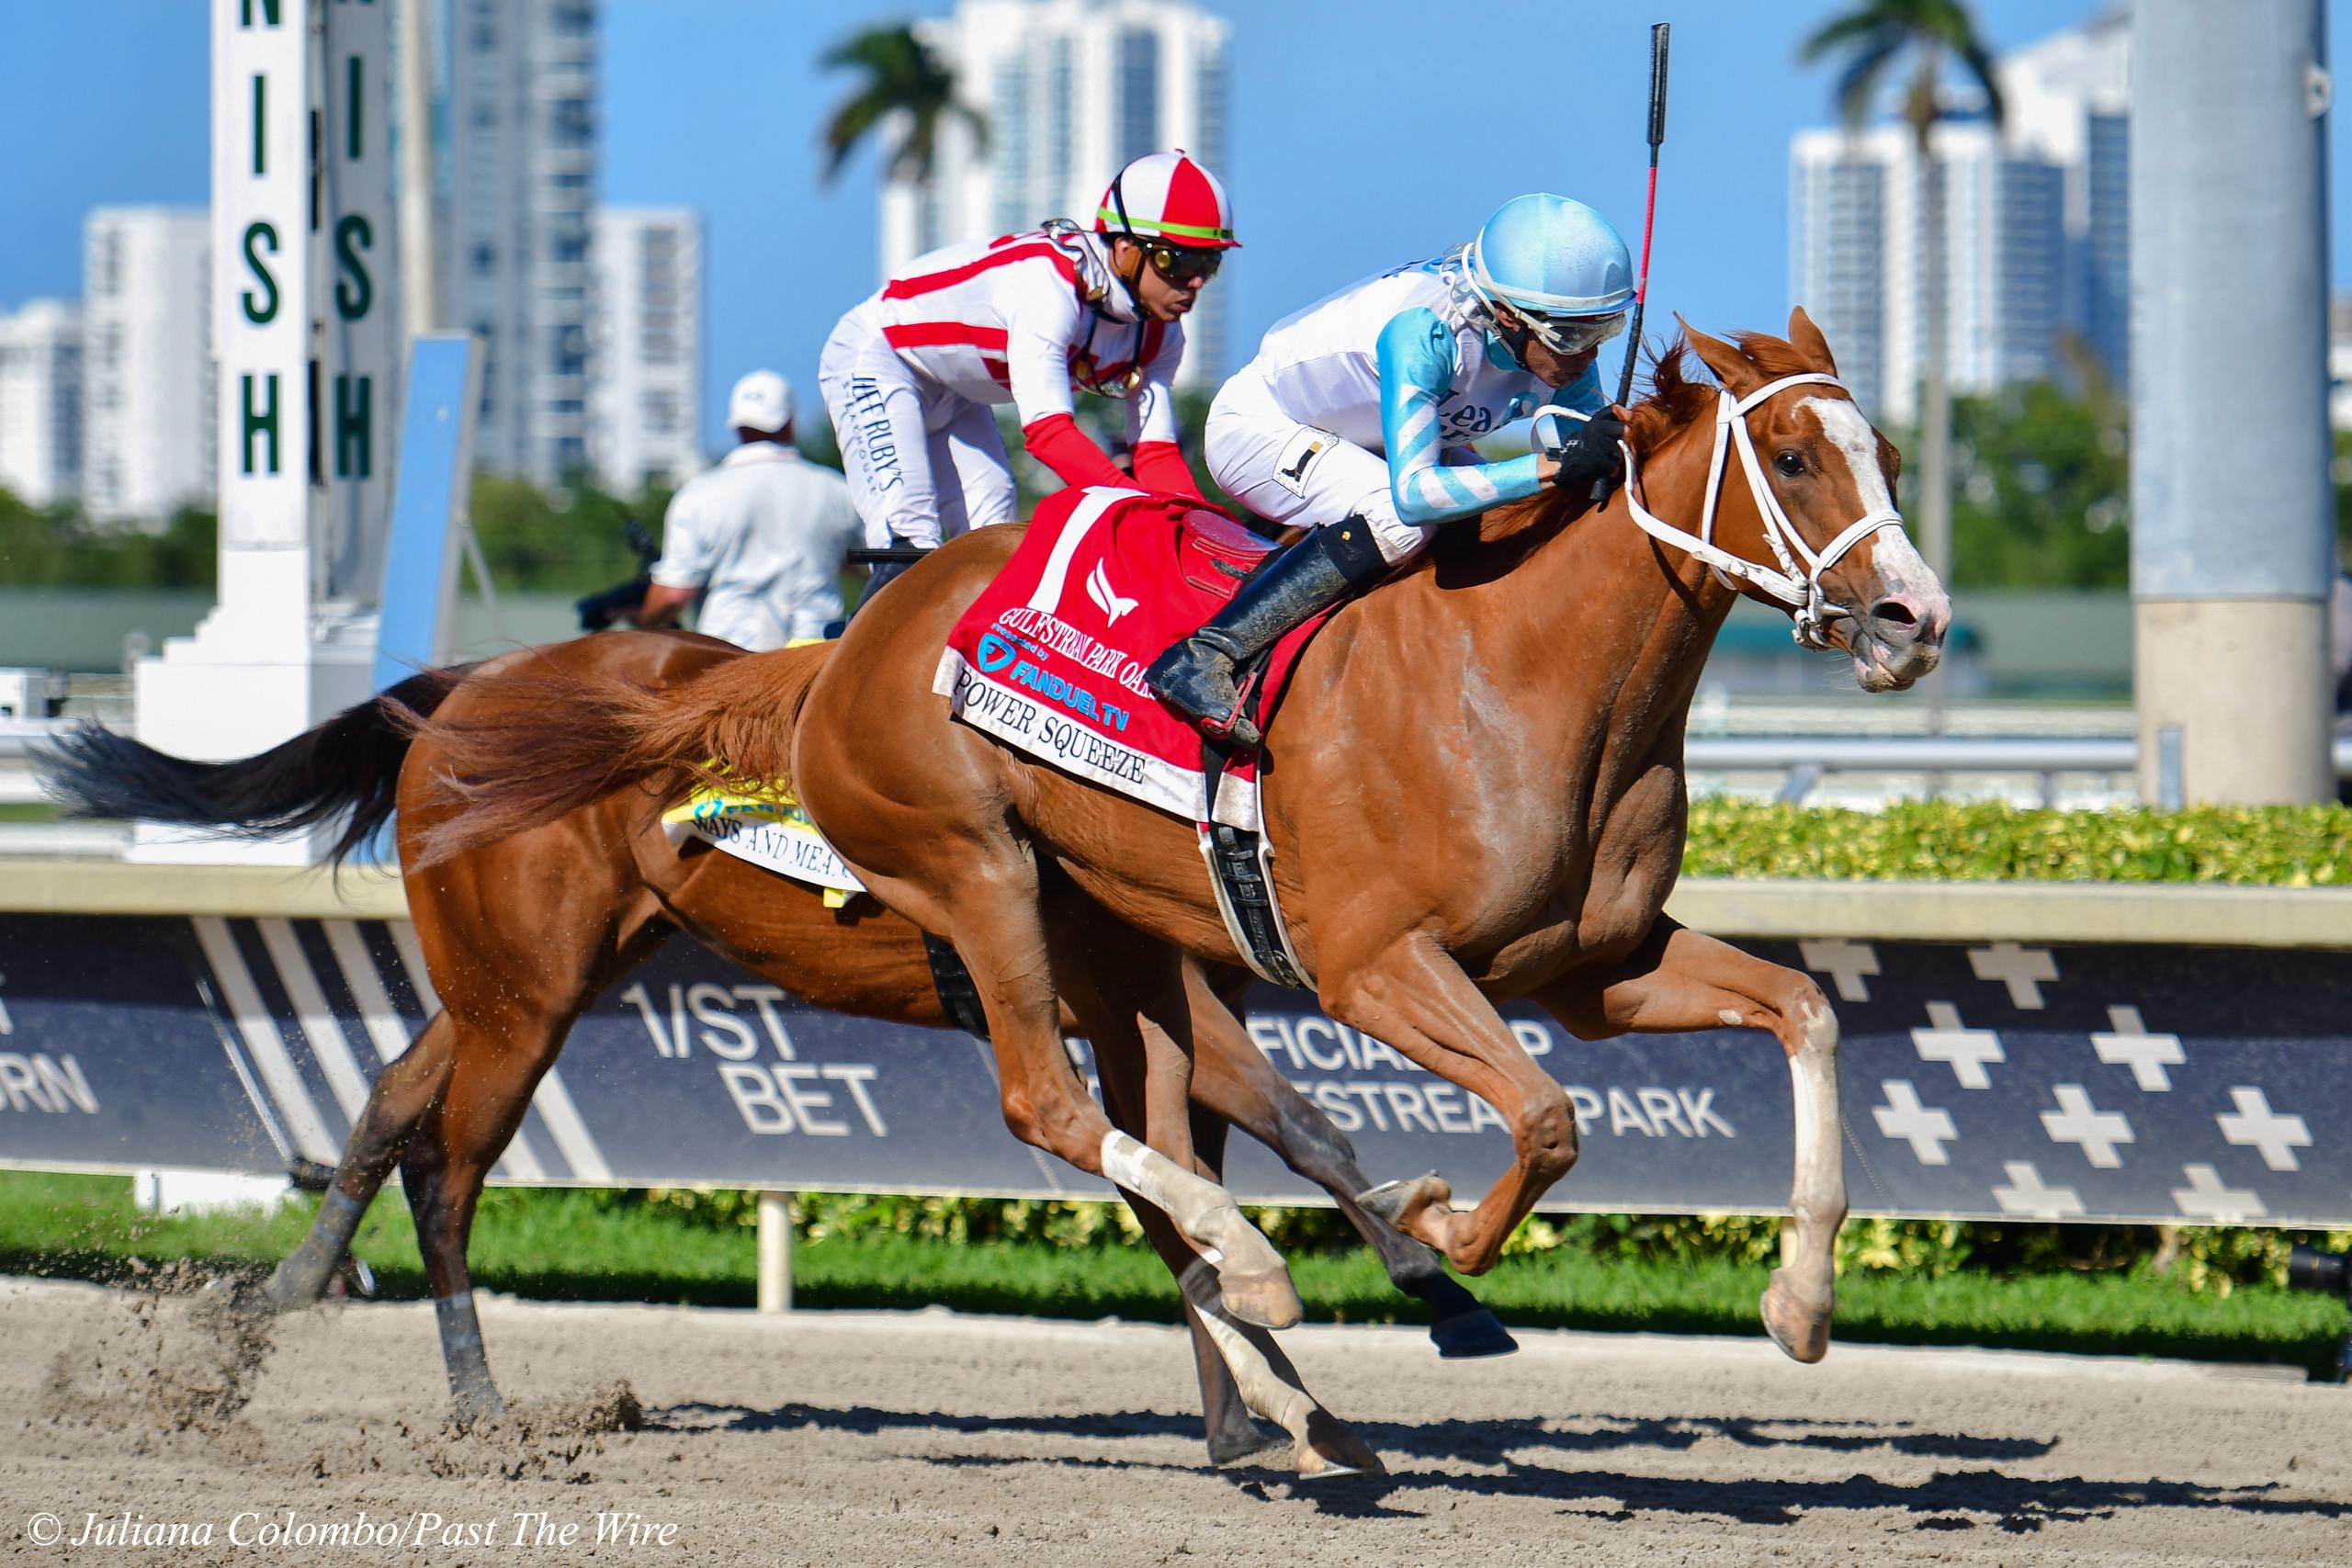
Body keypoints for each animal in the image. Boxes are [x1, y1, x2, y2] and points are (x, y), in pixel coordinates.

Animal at [45, 625, 1505, 1476]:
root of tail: (465, 684)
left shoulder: (1154, 1001)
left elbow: (1223, 1168)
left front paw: (1275, 1393)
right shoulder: (1157, 996)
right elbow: (1285, 1135)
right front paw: (1411, 1291)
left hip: (529, 971)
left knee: (394, 1097)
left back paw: (284, 1288)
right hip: (525, 995)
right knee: (449, 1169)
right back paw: (477, 1399)